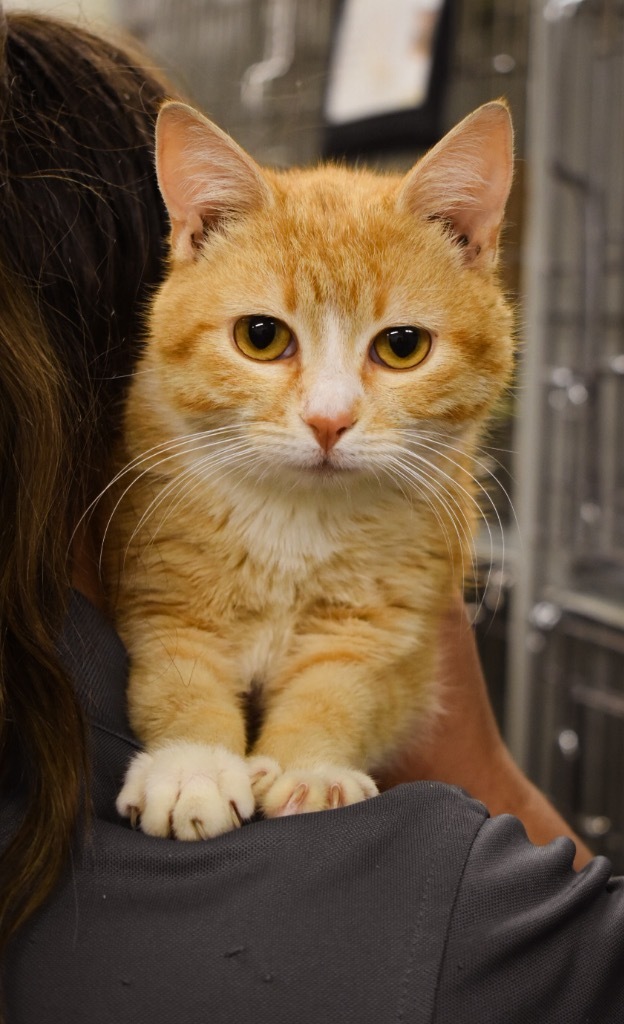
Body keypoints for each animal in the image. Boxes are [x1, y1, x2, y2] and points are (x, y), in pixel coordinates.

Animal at [107, 101, 514, 839]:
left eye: (403, 346)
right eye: (261, 337)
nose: (329, 420)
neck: (296, 521)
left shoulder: (385, 630)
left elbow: (341, 691)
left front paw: (310, 770)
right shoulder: (162, 596)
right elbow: (177, 678)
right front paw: (190, 767)